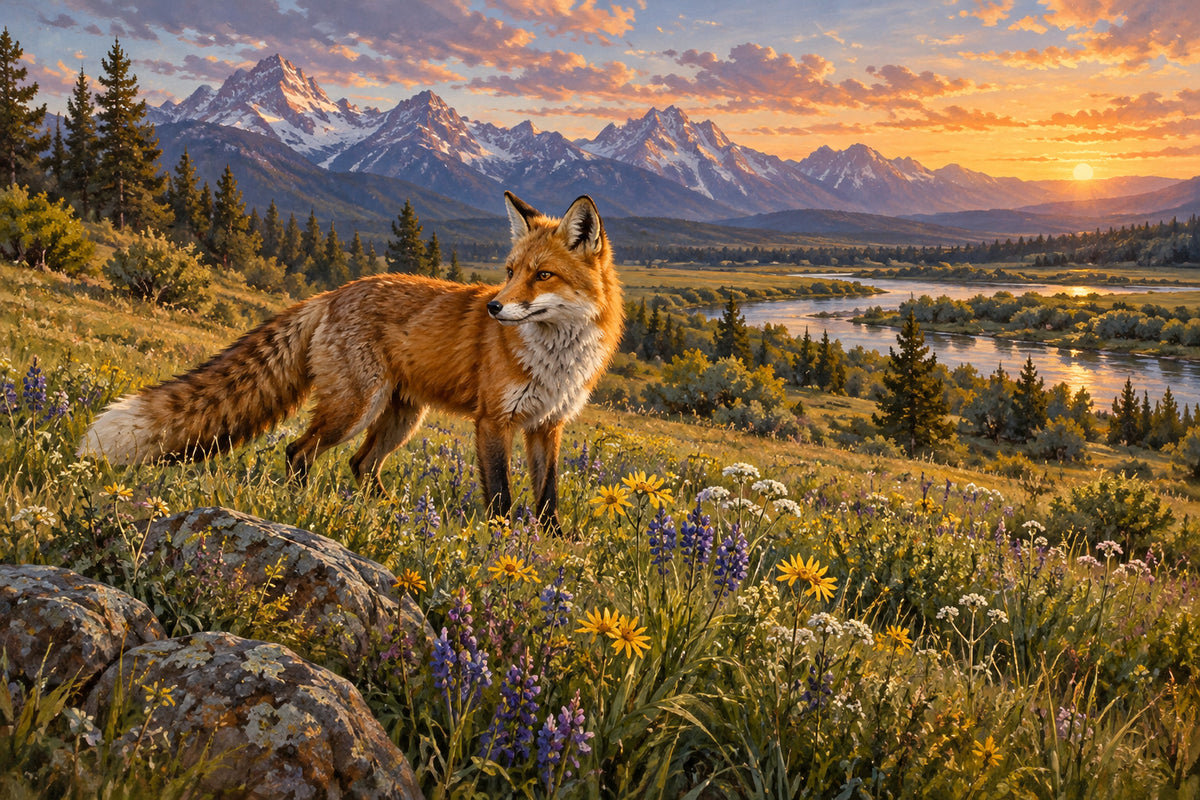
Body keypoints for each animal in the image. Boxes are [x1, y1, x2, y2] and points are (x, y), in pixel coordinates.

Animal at [78, 192, 624, 533]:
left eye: (542, 275)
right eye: (510, 272)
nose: (493, 308)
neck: (555, 360)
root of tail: (332, 293)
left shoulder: (548, 425)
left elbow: (548, 495)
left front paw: (552, 541)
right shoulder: (494, 421)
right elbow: (501, 496)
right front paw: (502, 542)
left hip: (401, 417)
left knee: (360, 465)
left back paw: (397, 514)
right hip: (355, 409)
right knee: (299, 451)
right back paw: (304, 502)